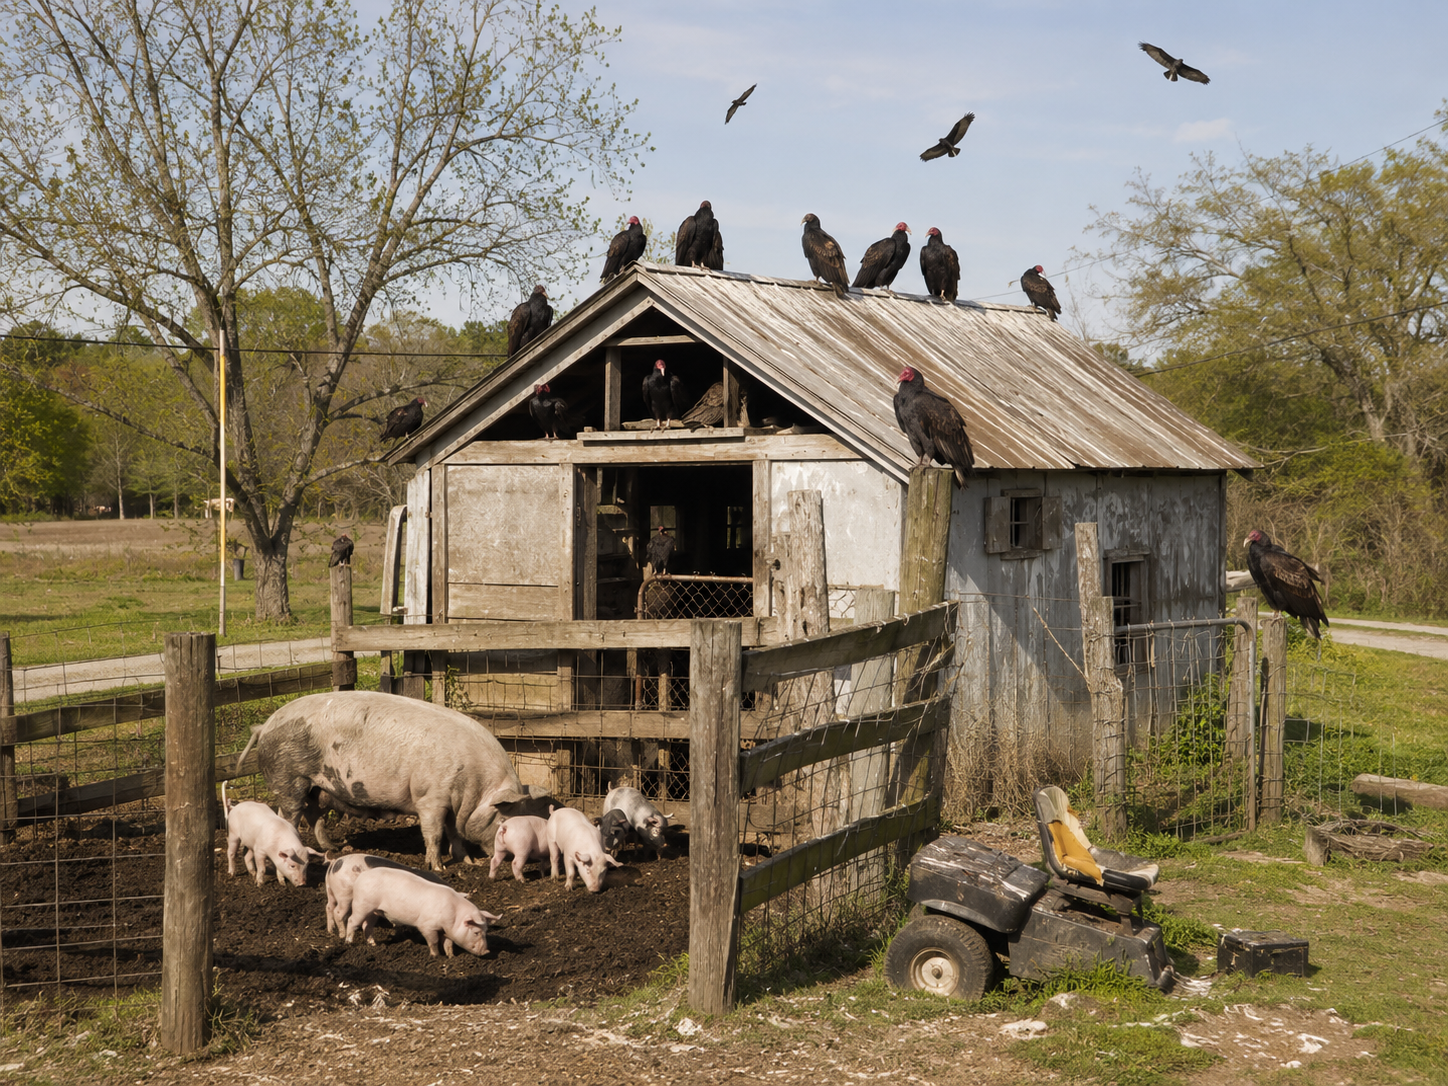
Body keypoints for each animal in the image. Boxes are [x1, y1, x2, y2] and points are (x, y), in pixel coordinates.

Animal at [234, 691, 533, 872]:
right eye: (504, 820)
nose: (512, 856)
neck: (476, 790)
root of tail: (264, 726)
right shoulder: (429, 798)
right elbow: (434, 834)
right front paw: (437, 868)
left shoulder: (452, 805)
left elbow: (454, 832)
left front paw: (468, 862)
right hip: (289, 780)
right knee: (289, 815)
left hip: (316, 787)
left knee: (314, 816)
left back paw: (334, 849)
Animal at [344, 866, 501, 958]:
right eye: (476, 932)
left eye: (486, 932)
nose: (487, 951)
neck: (453, 916)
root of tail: (362, 874)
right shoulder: (427, 926)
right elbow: (433, 941)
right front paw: (436, 957)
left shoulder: (447, 930)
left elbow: (448, 943)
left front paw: (451, 957)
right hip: (362, 904)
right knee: (352, 921)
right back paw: (348, 943)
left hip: (374, 911)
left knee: (367, 925)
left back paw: (373, 945)